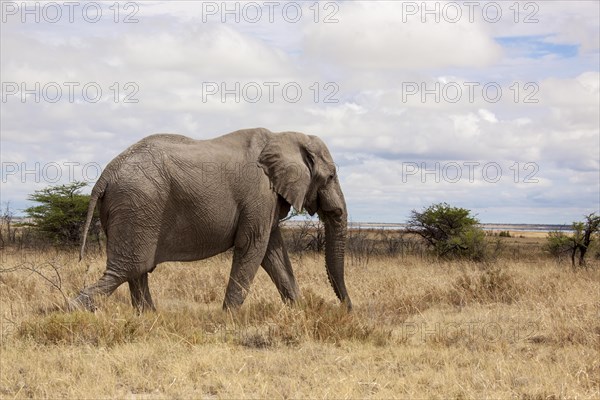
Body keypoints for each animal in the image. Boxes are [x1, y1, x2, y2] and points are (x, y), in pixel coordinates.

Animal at [74, 128, 352, 312]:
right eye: (331, 176)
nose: (347, 310)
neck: (285, 137)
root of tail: (107, 173)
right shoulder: (260, 194)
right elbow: (252, 247)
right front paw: (229, 318)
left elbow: (273, 253)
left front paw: (299, 312)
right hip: (138, 204)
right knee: (127, 269)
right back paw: (76, 309)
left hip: (131, 209)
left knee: (136, 270)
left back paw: (149, 317)